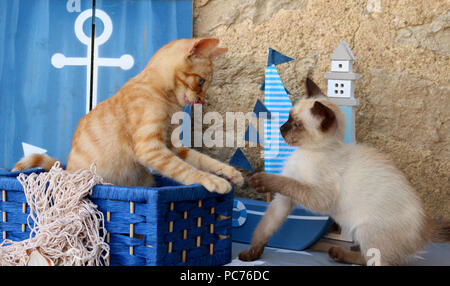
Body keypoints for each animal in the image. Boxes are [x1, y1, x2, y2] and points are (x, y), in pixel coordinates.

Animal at [12, 38, 243, 193]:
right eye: (201, 81)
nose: (202, 100)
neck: (165, 97)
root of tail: (66, 171)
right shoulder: (150, 148)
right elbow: (185, 169)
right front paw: (211, 180)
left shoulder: (171, 145)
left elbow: (202, 160)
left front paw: (228, 172)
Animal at [239, 77, 446, 264]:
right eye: (289, 118)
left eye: (297, 125)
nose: (282, 128)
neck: (309, 151)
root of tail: (426, 230)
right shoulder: (284, 200)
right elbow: (265, 227)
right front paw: (252, 253)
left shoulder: (318, 196)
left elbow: (286, 183)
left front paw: (258, 180)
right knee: (367, 257)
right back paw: (339, 253)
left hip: (366, 230)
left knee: (379, 261)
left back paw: (340, 253)